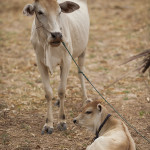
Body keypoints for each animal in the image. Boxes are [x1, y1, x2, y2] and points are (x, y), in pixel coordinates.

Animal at [22, 0, 89, 134]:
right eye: (40, 12)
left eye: (59, 11)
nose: (57, 35)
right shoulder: (40, 63)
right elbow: (48, 93)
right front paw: (48, 123)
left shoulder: (67, 60)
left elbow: (61, 90)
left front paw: (62, 121)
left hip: (83, 50)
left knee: (80, 73)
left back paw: (85, 99)